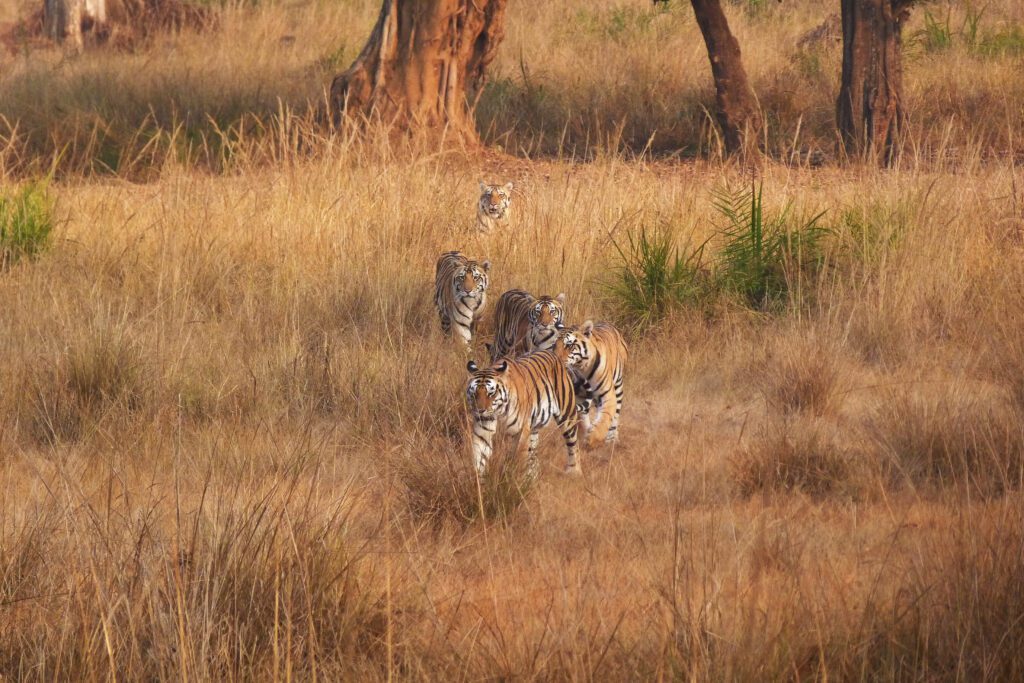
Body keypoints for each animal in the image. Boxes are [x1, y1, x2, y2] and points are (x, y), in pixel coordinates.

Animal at [466, 344, 581, 479]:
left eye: (491, 393)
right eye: (474, 393)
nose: (480, 410)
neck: (498, 411)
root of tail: (554, 354)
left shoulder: (521, 430)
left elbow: (518, 457)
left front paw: (513, 479)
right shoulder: (483, 430)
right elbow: (479, 457)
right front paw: (478, 480)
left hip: (567, 415)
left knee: (573, 444)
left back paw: (574, 472)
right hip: (534, 428)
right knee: (533, 454)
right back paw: (532, 477)